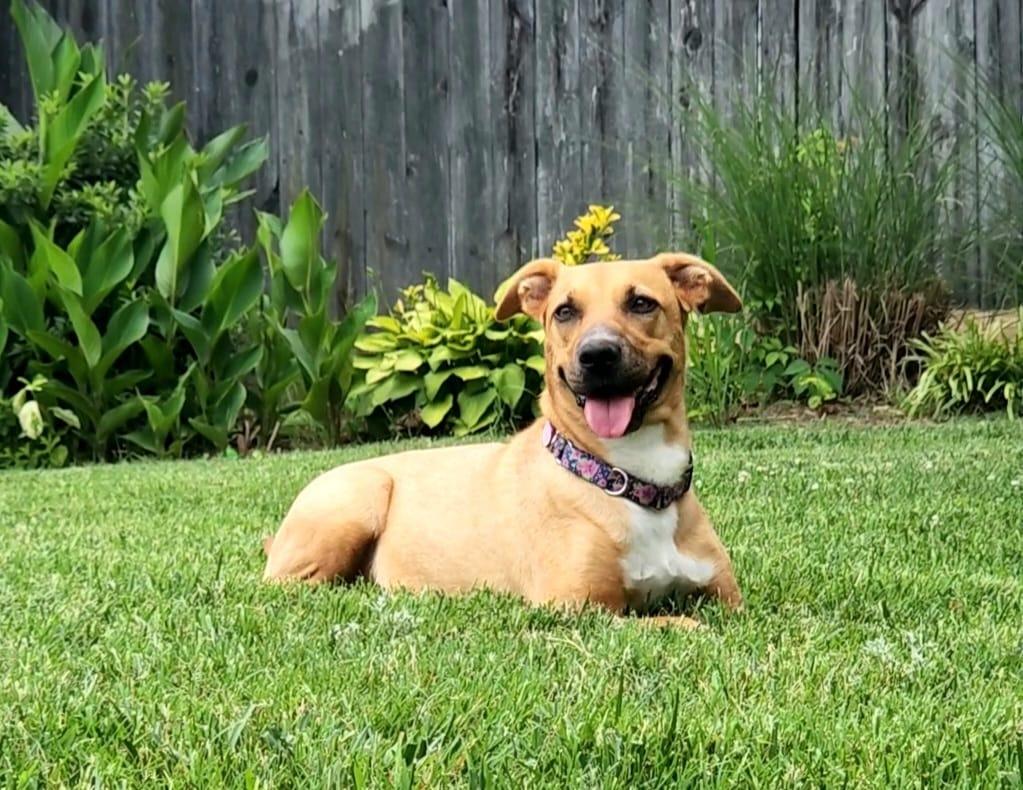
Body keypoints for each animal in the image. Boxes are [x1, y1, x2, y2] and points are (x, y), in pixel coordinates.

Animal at [263, 252, 744, 630]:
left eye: (642, 303)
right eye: (564, 312)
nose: (597, 355)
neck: (627, 477)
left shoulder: (729, 597)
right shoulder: (577, 608)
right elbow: (681, 622)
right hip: (357, 498)